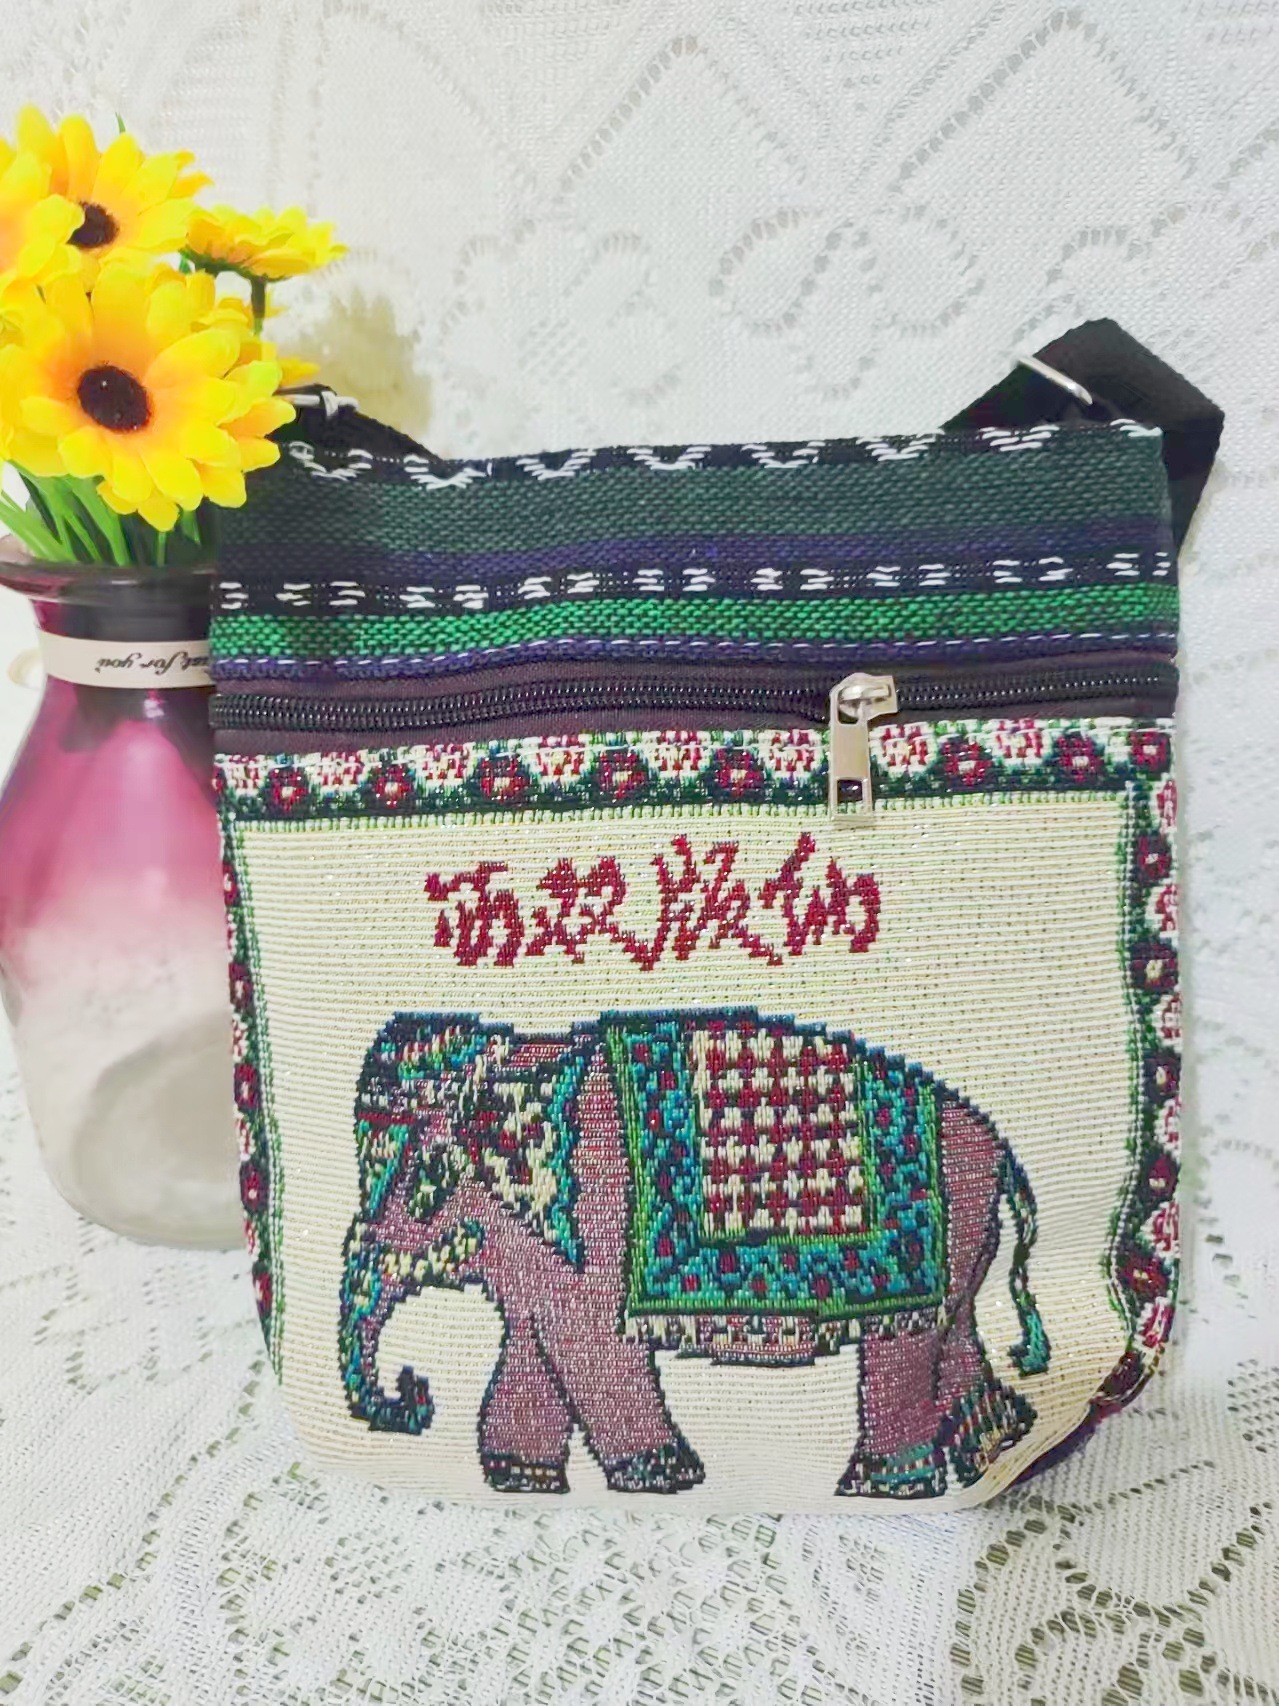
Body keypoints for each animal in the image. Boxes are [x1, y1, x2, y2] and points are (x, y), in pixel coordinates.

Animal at [338, 1009, 1050, 1499]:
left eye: (424, 1176)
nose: (414, 1390)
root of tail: (1001, 1149)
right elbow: (533, 1346)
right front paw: (523, 1478)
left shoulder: (592, 1232)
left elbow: (589, 1348)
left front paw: (661, 1477)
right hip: (966, 1246)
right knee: (951, 1336)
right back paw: (994, 1445)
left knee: (904, 1348)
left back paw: (885, 1485)